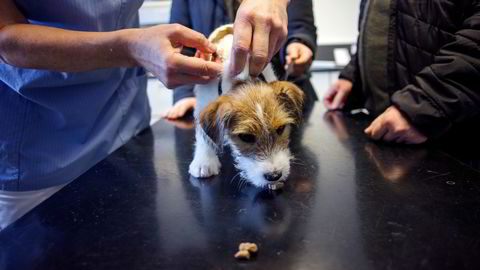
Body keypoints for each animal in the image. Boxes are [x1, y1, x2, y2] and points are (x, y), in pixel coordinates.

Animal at [188, 24, 304, 190]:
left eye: (281, 129)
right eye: (246, 137)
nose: (274, 176)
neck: (244, 79)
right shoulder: (204, 102)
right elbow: (204, 136)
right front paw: (204, 161)